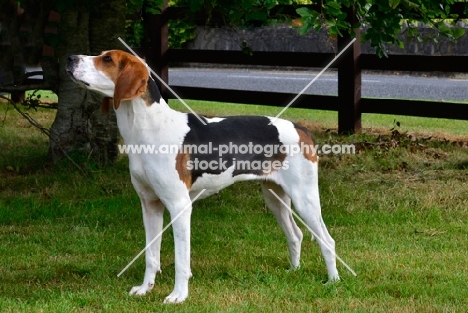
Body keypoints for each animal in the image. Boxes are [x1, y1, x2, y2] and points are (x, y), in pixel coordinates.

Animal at [66, 49, 338, 302]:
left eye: (107, 59)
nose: (69, 58)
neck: (147, 127)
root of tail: (301, 129)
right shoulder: (150, 205)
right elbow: (151, 255)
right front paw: (145, 289)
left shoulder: (179, 207)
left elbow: (181, 259)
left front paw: (178, 295)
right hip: (275, 198)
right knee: (296, 235)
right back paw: (294, 271)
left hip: (305, 199)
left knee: (327, 240)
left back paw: (333, 281)